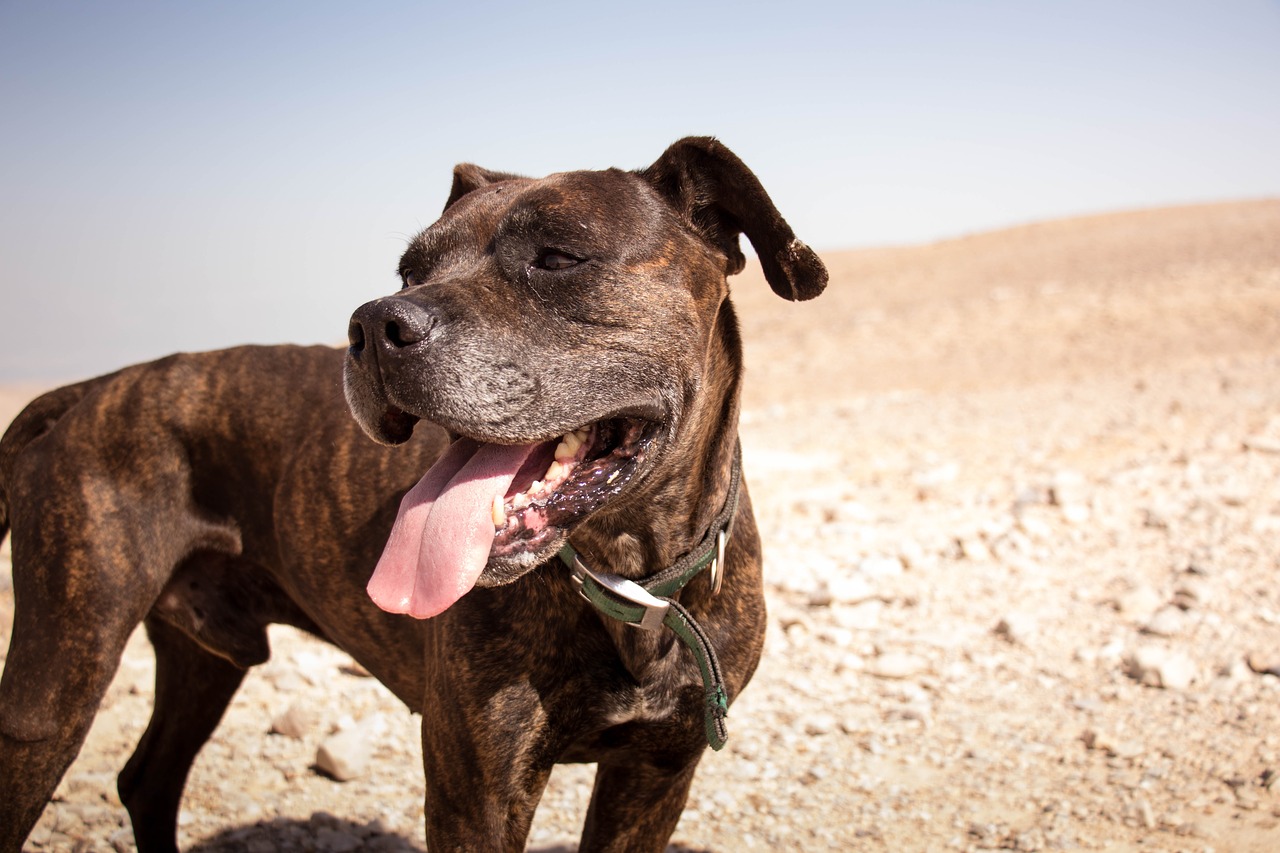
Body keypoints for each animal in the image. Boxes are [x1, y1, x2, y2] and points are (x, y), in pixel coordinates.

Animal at [0, 136, 829, 845]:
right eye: (408, 272)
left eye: (558, 258)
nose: (372, 323)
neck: (631, 576)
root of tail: (88, 389)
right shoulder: (478, 789)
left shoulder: (655, 774)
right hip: (54, 684)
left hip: (203, 657)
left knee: (149, 779)